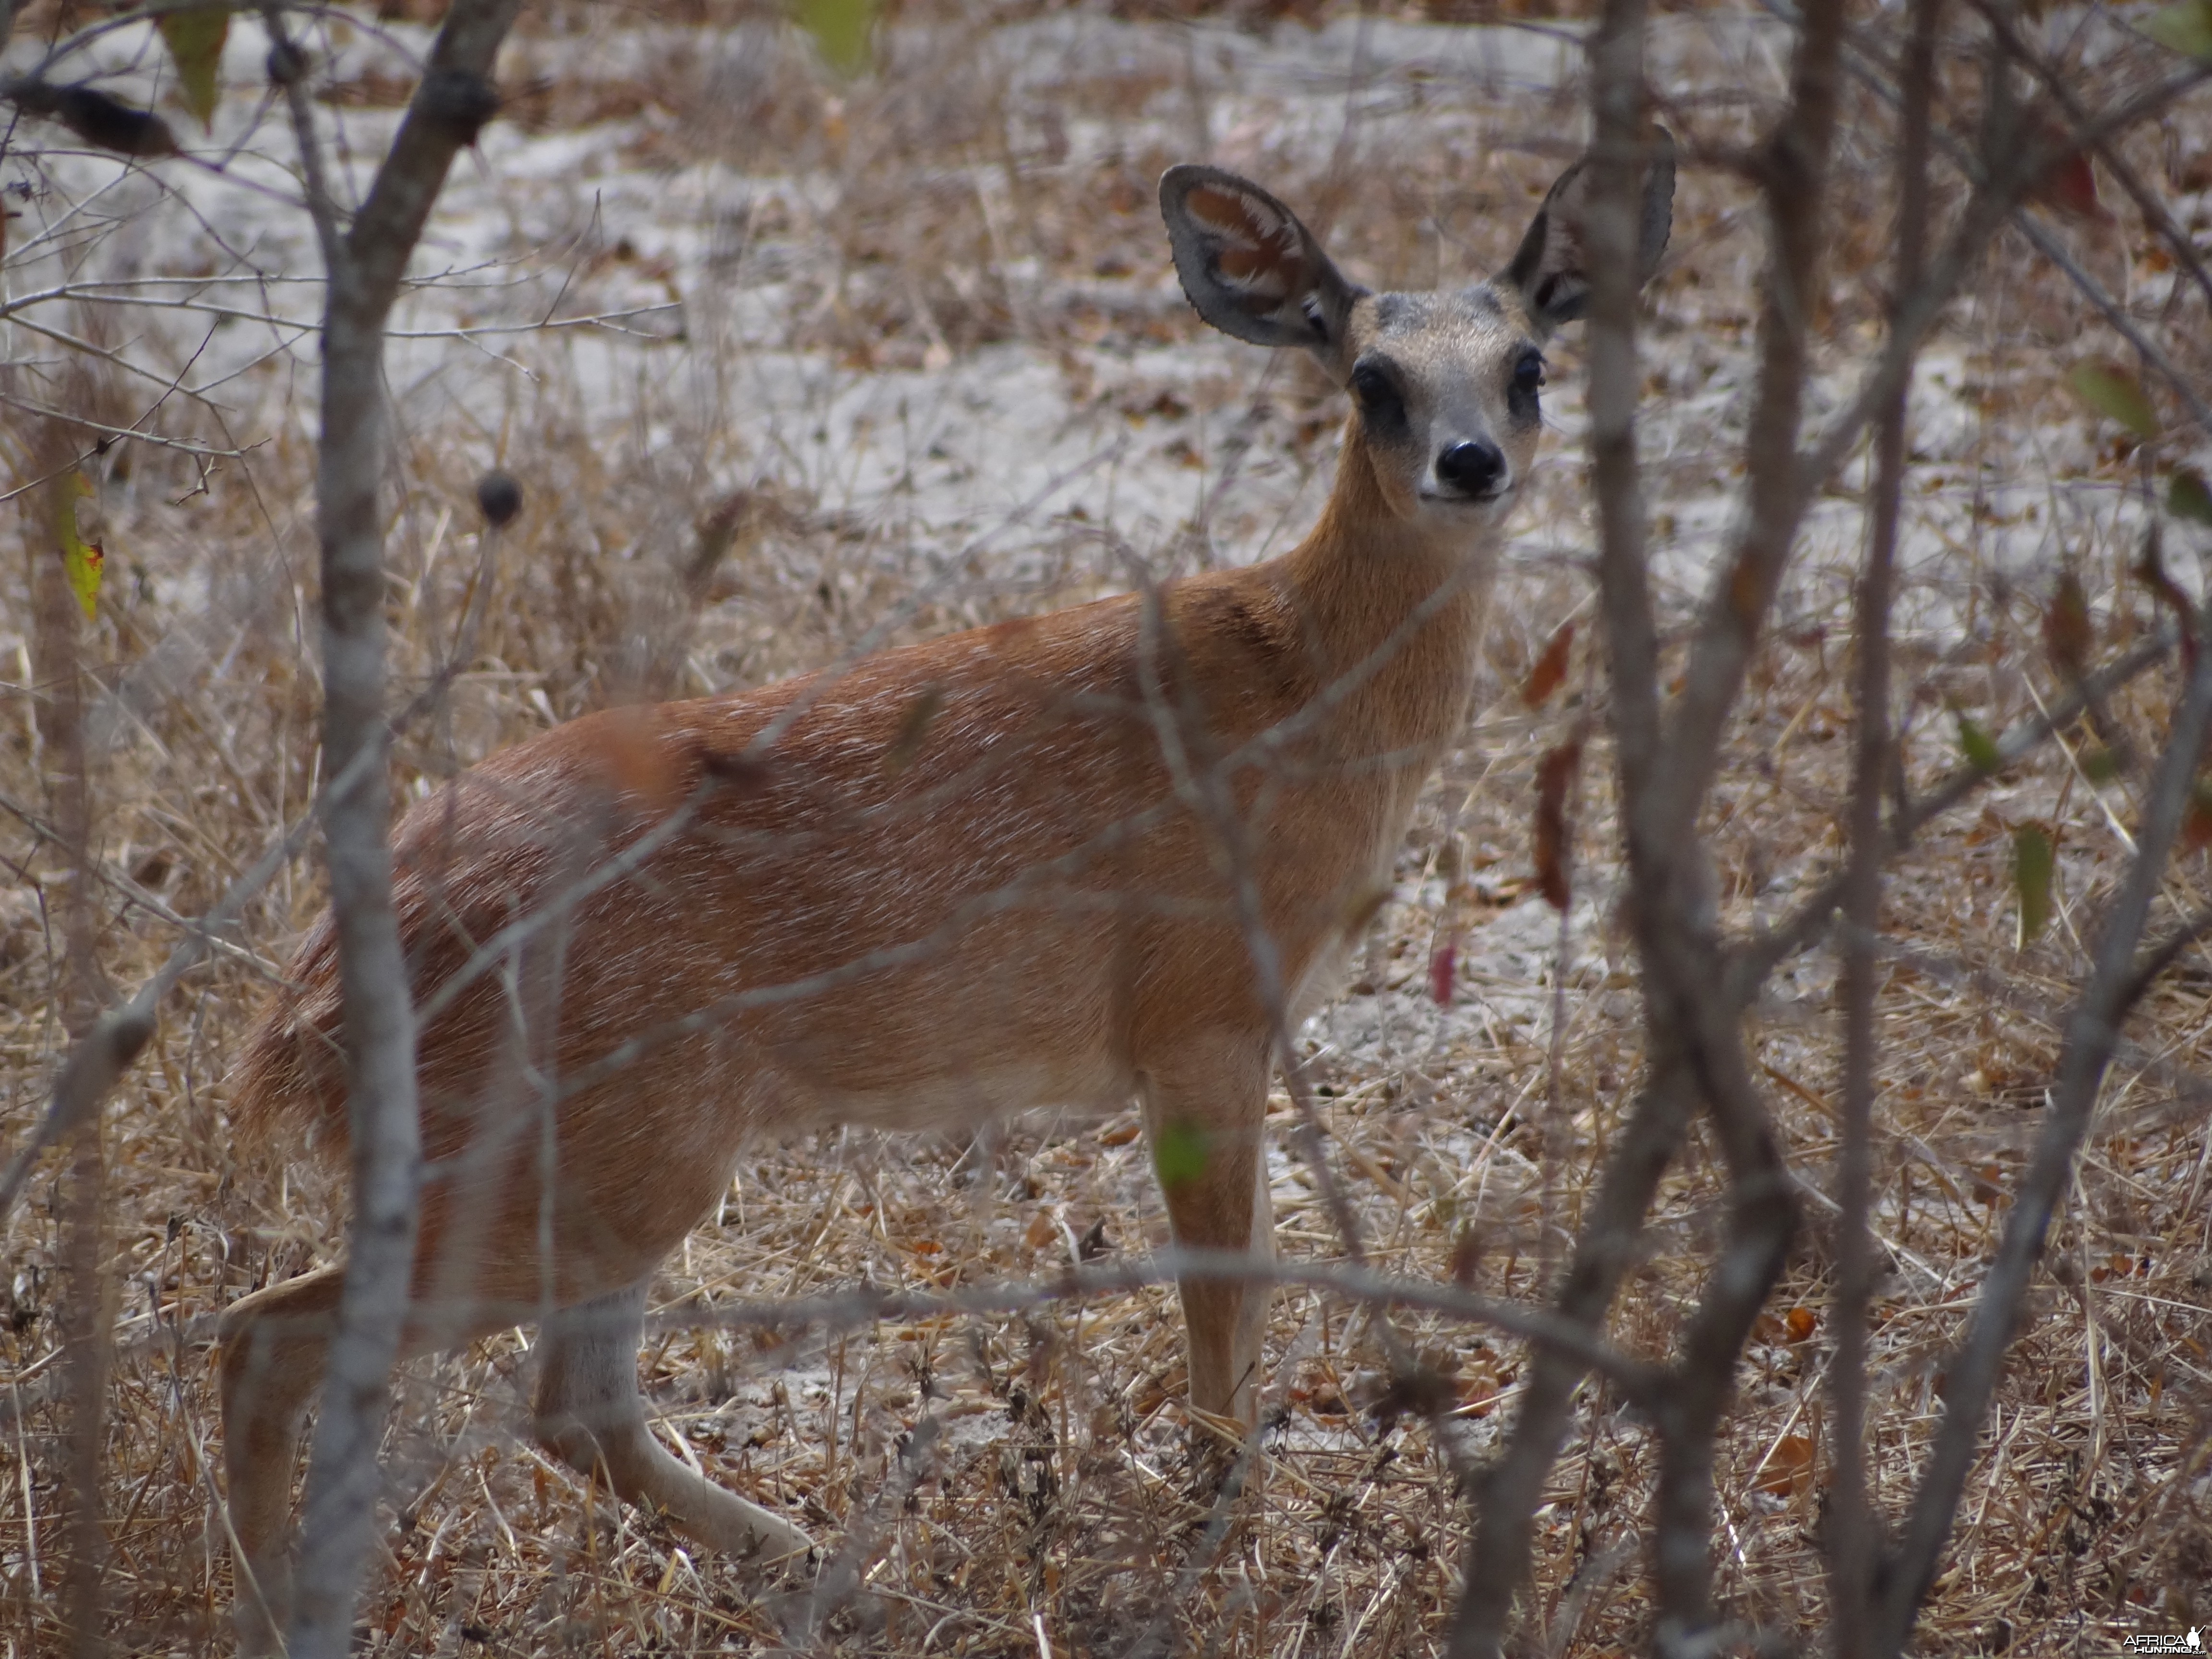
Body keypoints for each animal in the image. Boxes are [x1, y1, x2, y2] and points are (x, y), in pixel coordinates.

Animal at [224, 136, 1663, 1646]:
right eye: (1370, 376)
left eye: (1528, 364)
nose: (1470, 461)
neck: (1294, 691)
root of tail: (306, 1005)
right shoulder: (1200, 1013)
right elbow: (1229, 1299)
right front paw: (1222, 1547)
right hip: (592, 1148)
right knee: (275, 1335)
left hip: (606, 1159)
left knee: (566, 1401)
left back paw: (832, 1573)